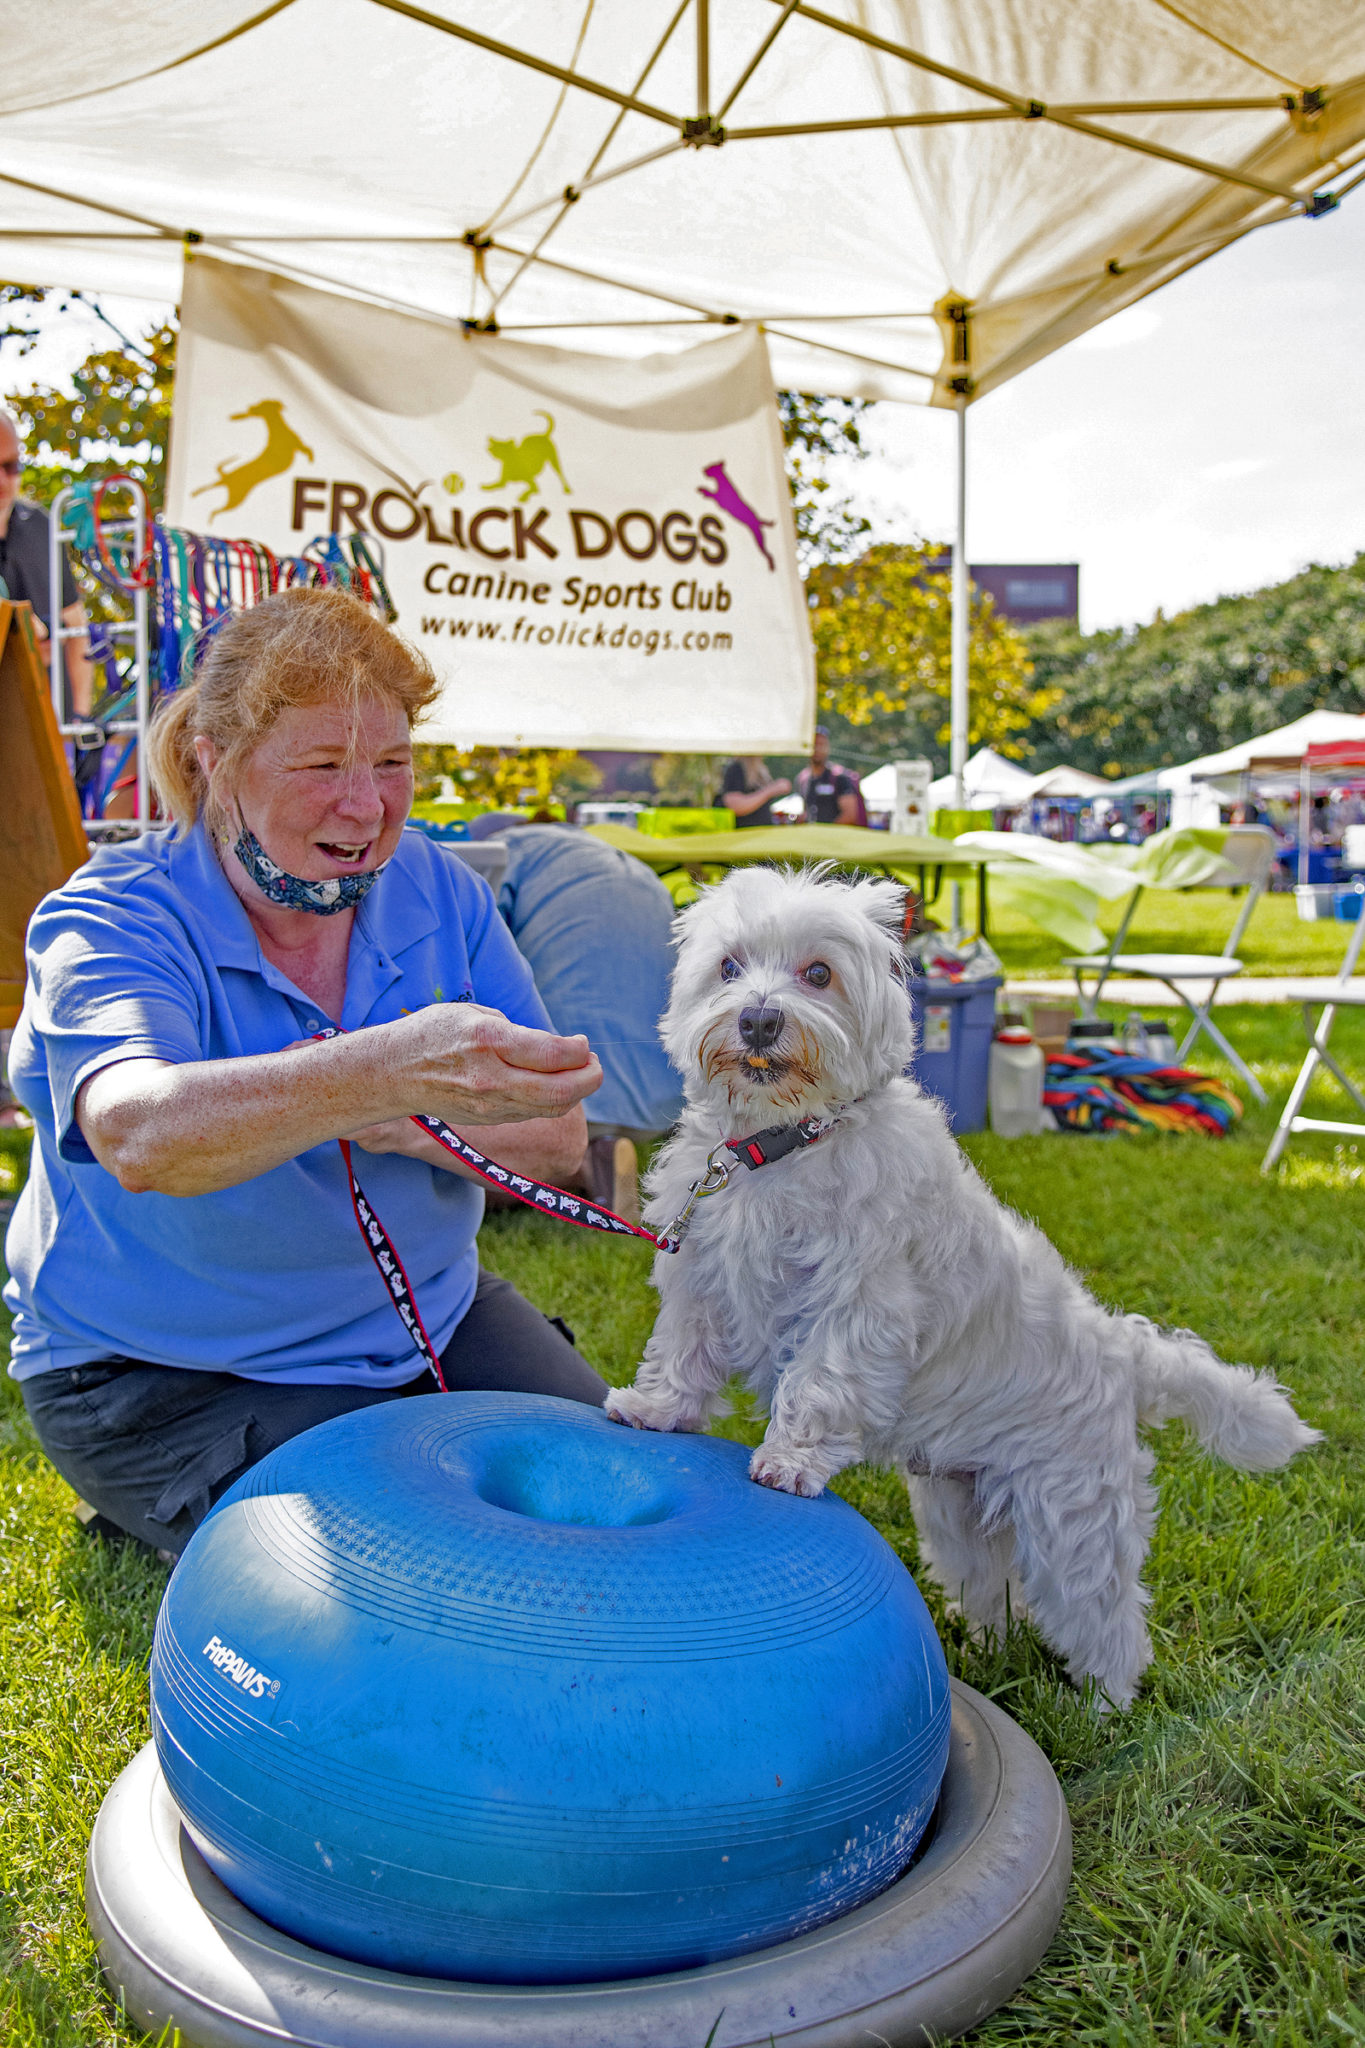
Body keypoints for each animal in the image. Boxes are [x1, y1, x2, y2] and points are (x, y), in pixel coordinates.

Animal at [609, 864, 1326, 1712]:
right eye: (727, 966)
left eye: (817, 973)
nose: (756, 1020)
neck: (777, 1149)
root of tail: (1120, 1348)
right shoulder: (702, 1275)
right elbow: (682, 1353)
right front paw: (653, 1411)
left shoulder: (858, 1305)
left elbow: (815, 1388)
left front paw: (786, 1462)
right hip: (959, 1509)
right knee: (996, 1593)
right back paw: (984, 1652)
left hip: (1070, 1510)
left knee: (1105, 1615)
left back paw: (1103, 1705)